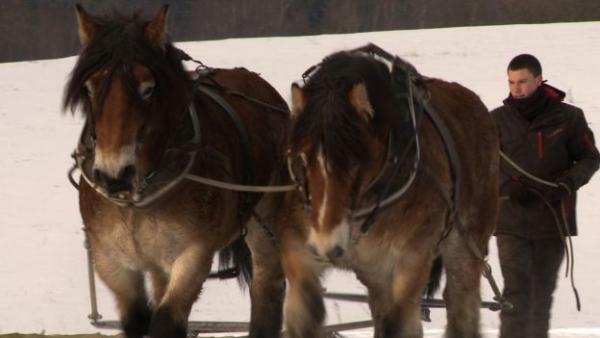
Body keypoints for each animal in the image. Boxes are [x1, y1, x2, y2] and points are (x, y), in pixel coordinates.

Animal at [65, 5, 288, 338]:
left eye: (147, 88)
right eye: (91, 87)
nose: (115, 175)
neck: (140, 198)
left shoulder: (193, 254)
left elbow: (166, 320)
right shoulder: (112, 262)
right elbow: (136, 319)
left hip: (265, 217)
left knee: (267, 288)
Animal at [282, 45, 502, 338]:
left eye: (354, 162)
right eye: (303, 160)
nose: (327, 245)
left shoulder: (412, 257)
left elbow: (401, 322)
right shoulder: (301, 246)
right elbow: (304, 305)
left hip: (465, 246)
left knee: (461, 305)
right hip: (375, 273)